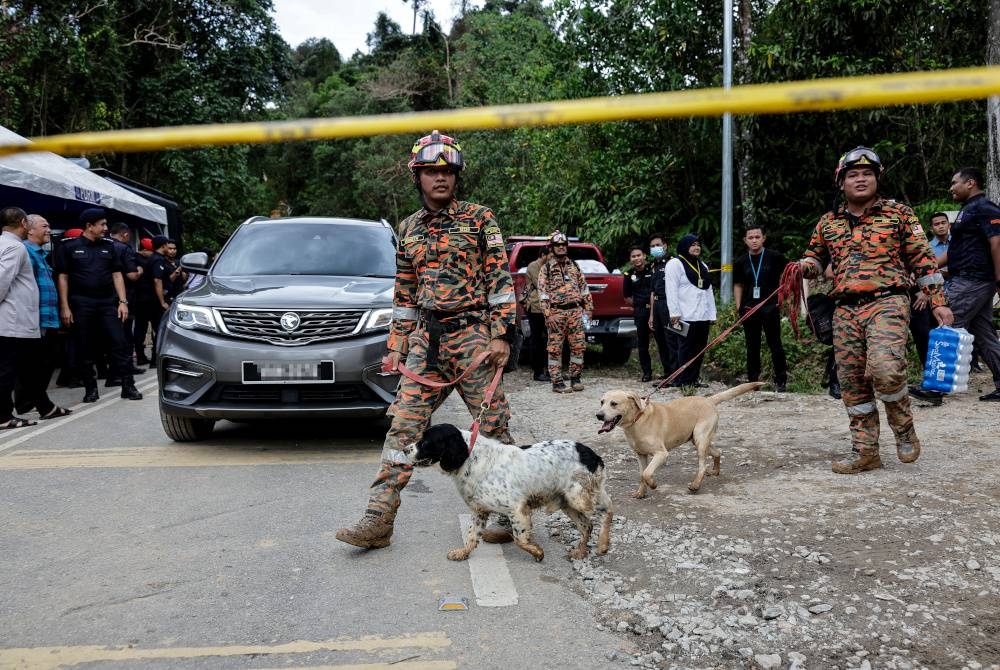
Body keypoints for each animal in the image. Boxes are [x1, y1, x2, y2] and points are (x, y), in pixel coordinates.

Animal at [404, 426, 608, 560]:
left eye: (426, 441)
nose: (405, 449)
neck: (471, 458)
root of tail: (592, 454)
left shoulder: (517, 508)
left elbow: (519, 539)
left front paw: (537, 551)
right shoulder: (479, 511)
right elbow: (472, 535)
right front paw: (462, 552)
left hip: (580, 498)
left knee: (608, 511)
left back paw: (603, 544)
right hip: (568, 502)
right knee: (587, 526)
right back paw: (580, 552)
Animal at [592, 380, 764, 496]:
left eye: (614, 403)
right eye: (601, 402)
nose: (598, 415)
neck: (638, 420)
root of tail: (708, 400)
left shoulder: (661, 454)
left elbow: (647, 473)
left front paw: (653, 485)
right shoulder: (640, 455)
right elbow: (642, 474)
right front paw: (641, 493)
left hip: (700, 439)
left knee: (702, 465)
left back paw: (695, 485)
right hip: (698, 440)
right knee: (718, 452)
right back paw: (715, 471)